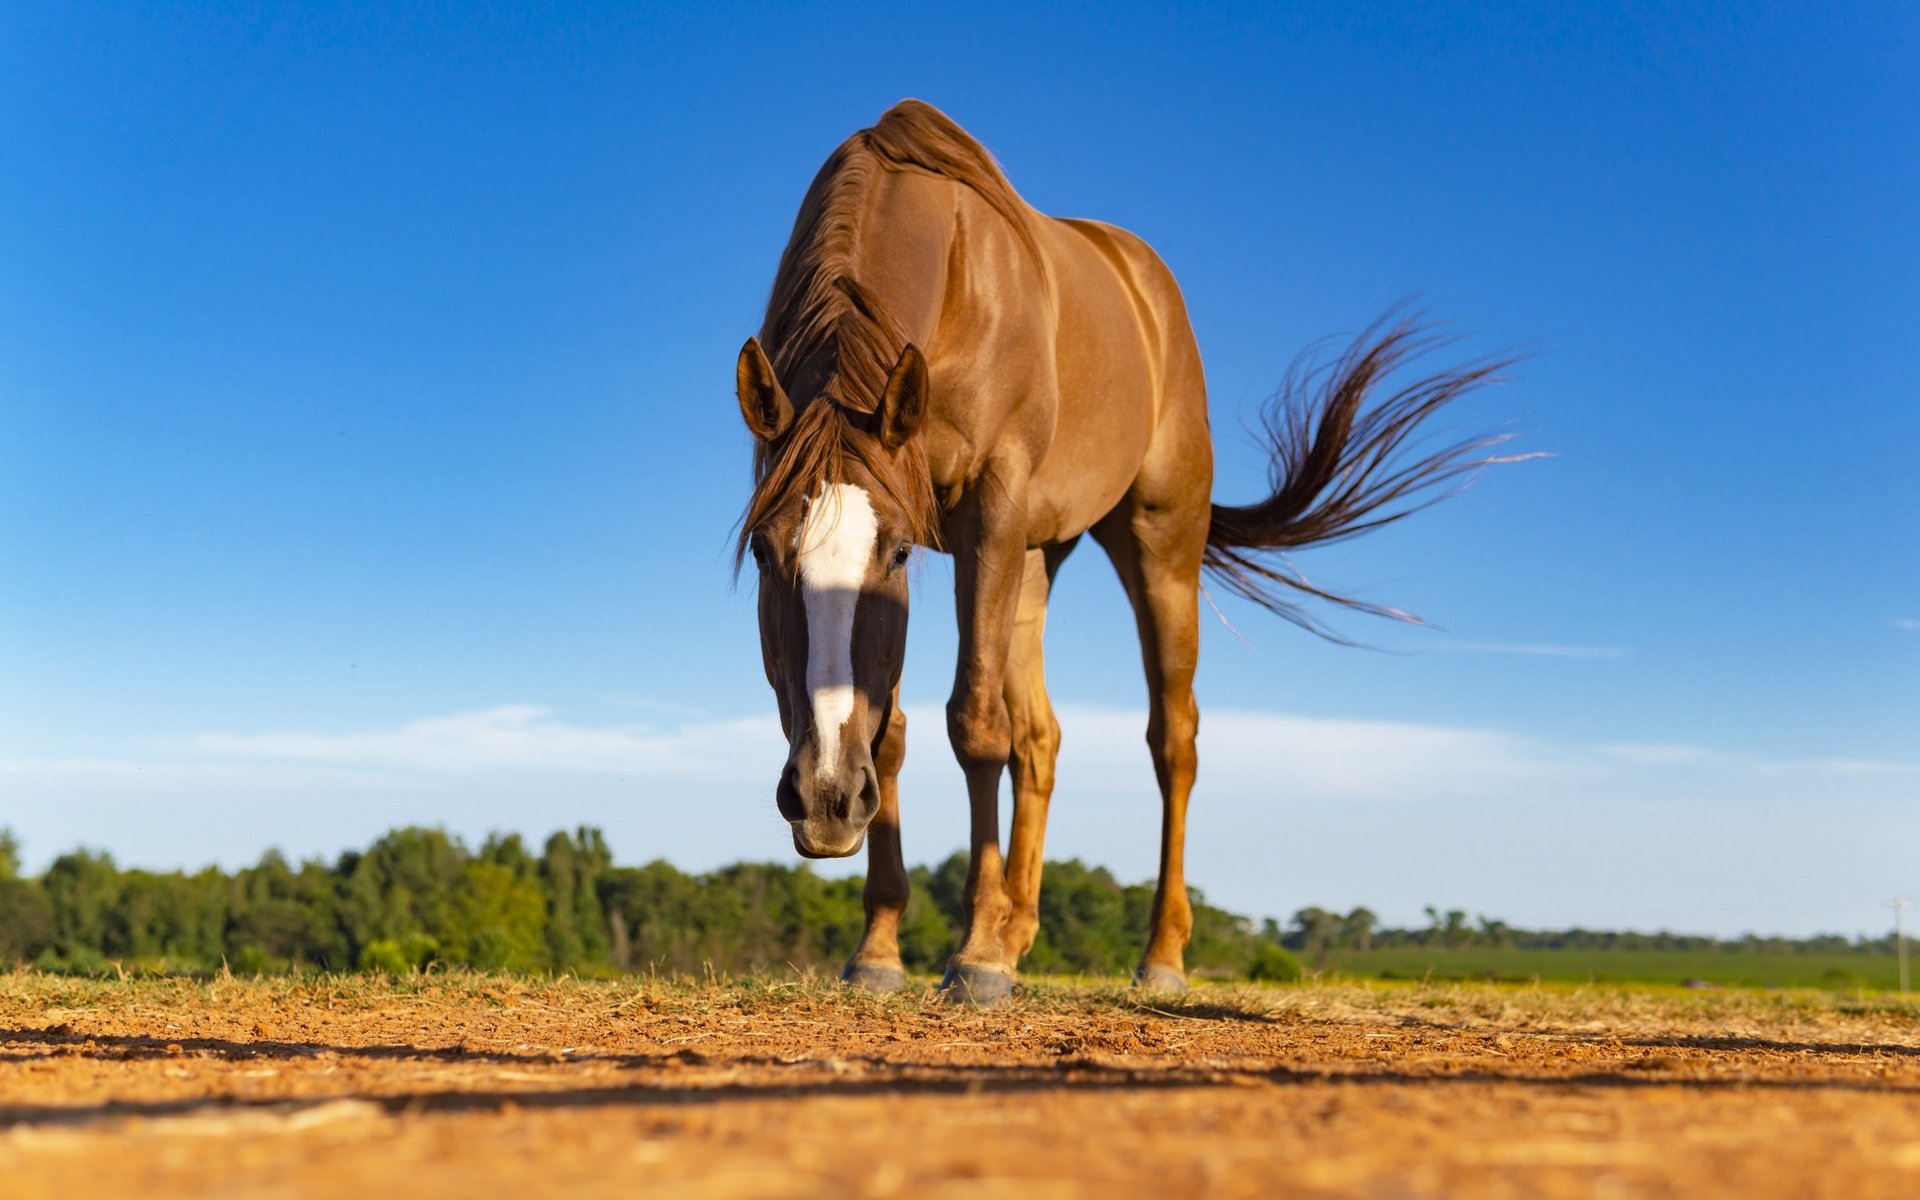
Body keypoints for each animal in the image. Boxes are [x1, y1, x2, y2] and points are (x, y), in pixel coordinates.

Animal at [733, 100, 1512, 998]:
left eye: (893, 554)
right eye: (765, 552)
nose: (825, 796)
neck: (954, 278)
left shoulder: (987, 518)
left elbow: (974, 724)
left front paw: (973, 955)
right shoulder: (971, 543)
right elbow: (893, 729)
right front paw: (882, 947)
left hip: (1156, 544)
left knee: (1172, 739)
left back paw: (1157, 955)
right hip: (1037, 558)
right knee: (1041, 738)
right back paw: (1018, 931)